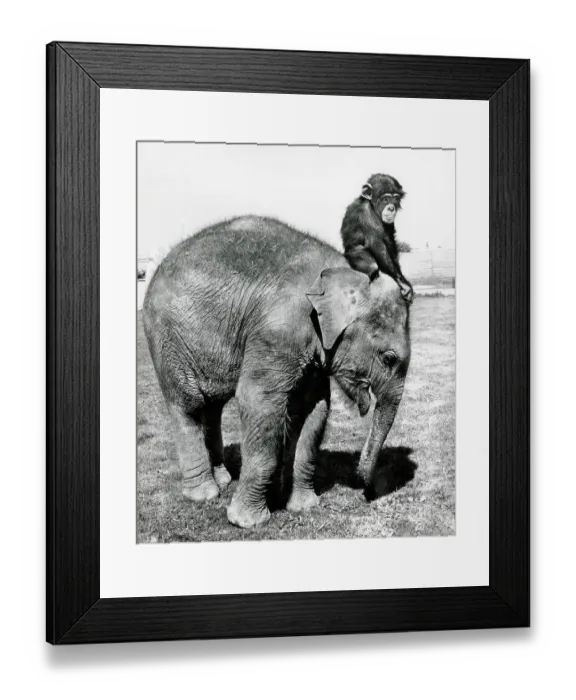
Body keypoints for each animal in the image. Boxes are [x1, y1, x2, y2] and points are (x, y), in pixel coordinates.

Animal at [143, 216, 411, 529]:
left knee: (213, 407)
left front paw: (304, 507)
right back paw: (204, 494)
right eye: (389, 358)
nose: (366, 490)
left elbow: (314, 409)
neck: (344, 272)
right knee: (189, 406)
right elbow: (260, 403)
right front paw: (248, 522)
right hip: (167, 340)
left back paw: (223, 480)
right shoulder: (279, 330)